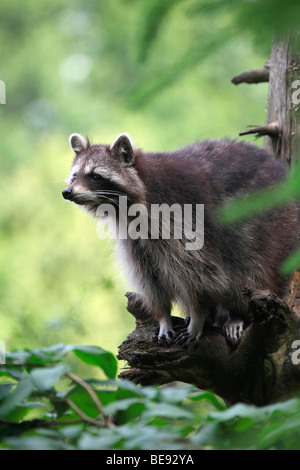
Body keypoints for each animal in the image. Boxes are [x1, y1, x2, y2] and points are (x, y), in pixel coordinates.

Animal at [62, 132, 298, 346]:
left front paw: (198, 316)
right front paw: (164, 317)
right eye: (74, 176)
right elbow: (150, 279)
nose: (67, 192)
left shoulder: (179, 217)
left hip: (272, 223)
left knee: (251, 265)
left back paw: (238, 313)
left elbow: (201, 274)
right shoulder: (133, 240)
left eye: (95, 176)